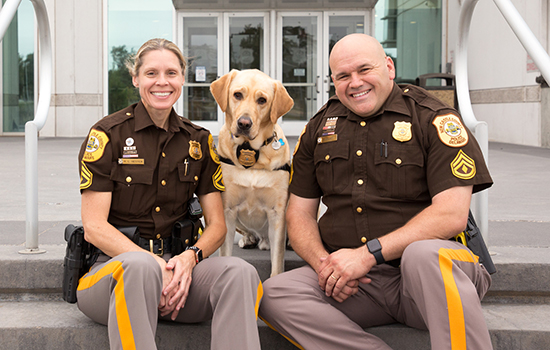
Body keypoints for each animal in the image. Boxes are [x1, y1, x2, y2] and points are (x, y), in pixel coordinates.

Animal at [211, 69, 296, 276]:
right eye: (237, 95)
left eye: (262, 100)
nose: (243, 123)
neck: (250, 150)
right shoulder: (227, 210)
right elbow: (225, 252)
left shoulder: (277, 214)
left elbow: (277, 259)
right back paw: (248, 239)